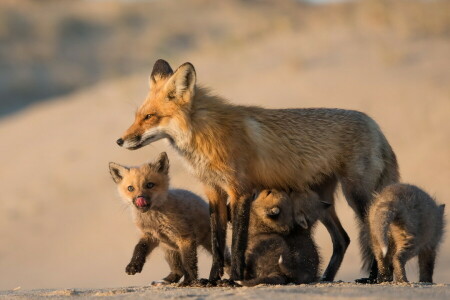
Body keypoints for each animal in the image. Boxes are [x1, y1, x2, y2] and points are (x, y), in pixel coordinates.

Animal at [118, 59, 400, 284]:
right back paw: (325, 278)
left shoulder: (240, 191)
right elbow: (217, 244)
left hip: (357, 195)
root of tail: (374, 124)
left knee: (373, 231)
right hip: (322, 201)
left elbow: (237, 243)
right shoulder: (214, 192)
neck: (206, 138)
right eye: (137, 116)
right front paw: (212, 280)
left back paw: (378, 277)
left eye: (150, 117)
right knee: (343, 239)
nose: (119, 141)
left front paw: (234, 278)